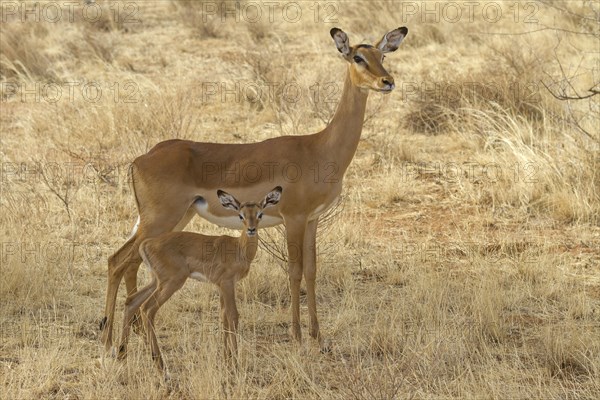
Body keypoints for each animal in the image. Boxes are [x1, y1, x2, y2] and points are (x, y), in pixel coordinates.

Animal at [119, 188, 284, 372]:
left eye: (260, 214)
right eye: (241, 215)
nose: (251, 229)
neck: (239, 249)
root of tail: (146, 244)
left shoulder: (220, 286)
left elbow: (224, 316)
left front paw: (226, 360)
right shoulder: (227, 283)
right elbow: (233, 315)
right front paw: (235, 364)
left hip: (156, 281)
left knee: (132, 301)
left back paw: (121, 355)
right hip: (172, 282)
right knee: (147, 308)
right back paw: (161, 366)